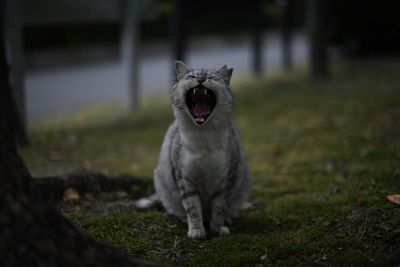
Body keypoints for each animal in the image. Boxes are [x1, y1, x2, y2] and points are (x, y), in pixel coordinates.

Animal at [138, 61, 250, 241]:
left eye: (212, 77)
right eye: (191, 76)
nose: (201, 78)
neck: (203, 138)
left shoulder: (224, 179)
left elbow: (219, 208)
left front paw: (218, 229)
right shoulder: (185, 178)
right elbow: (192, 208)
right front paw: (197, 231)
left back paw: (227, 220)